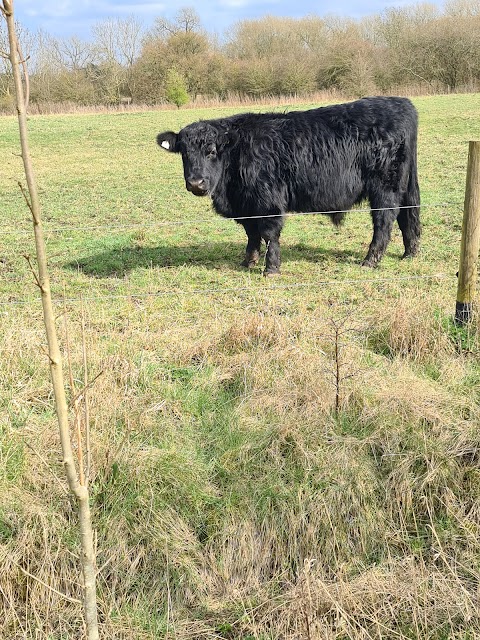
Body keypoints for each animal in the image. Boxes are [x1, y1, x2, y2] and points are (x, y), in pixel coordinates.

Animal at [158, 97, 420, 276]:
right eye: (184, 153)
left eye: (211, 151)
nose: (196, 182)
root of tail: (400, 102)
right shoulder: (246, 206)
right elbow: (251, 234)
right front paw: (248, 261)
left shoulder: (268, 201)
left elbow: (269, 233)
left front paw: (271, 268)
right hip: (403, 186)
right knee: (407, 216)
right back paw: (410, 253)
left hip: (385, 188)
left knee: (384, 221)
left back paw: (370, 260)